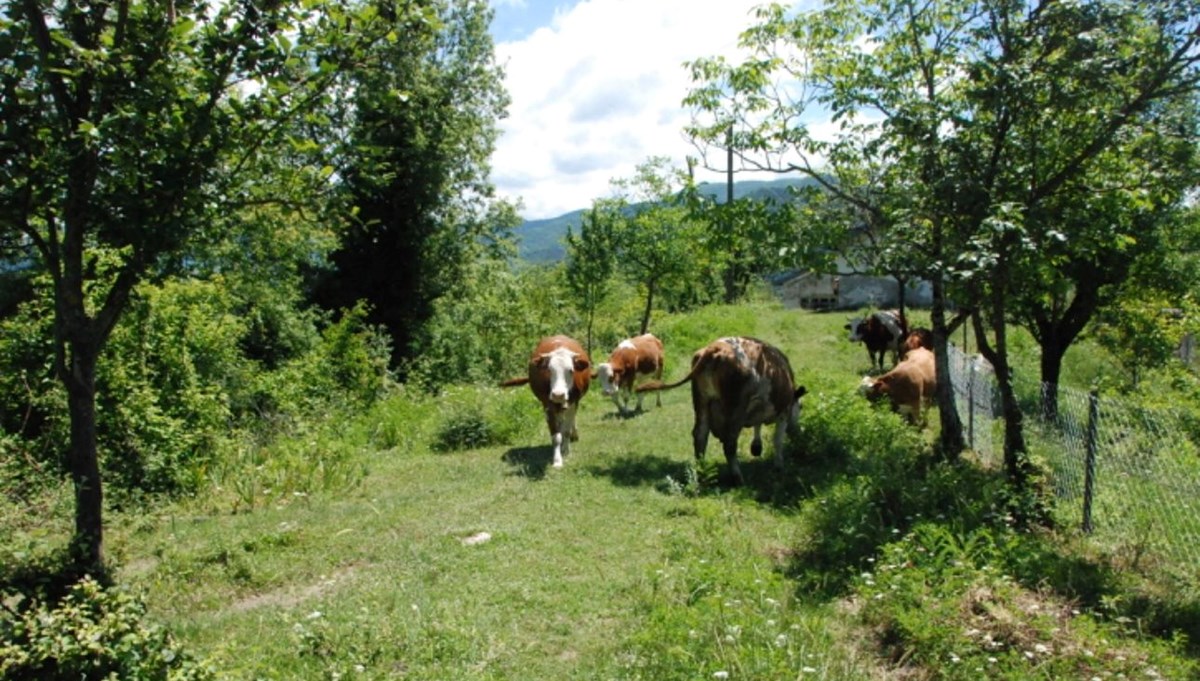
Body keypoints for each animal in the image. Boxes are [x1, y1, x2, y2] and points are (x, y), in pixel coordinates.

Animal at [496, 335, 590, 467]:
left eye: (571, 370)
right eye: (549, 370)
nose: (558, 394)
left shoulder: (573, 402)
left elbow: (567, 429)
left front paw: (566, 450)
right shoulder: (548, 405)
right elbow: (556, 436)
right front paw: (557, 460)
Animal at [638, 335, 806, 484]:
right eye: (801, 407)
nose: (797, 432)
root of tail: (715, 347)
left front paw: (757, 446)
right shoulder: (783, 411)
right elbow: (777, 440)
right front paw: (779, 465)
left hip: (702, 402)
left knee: (700, 435)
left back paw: (702, 472)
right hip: (736, 408)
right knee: (730, 442)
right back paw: (737, 478)